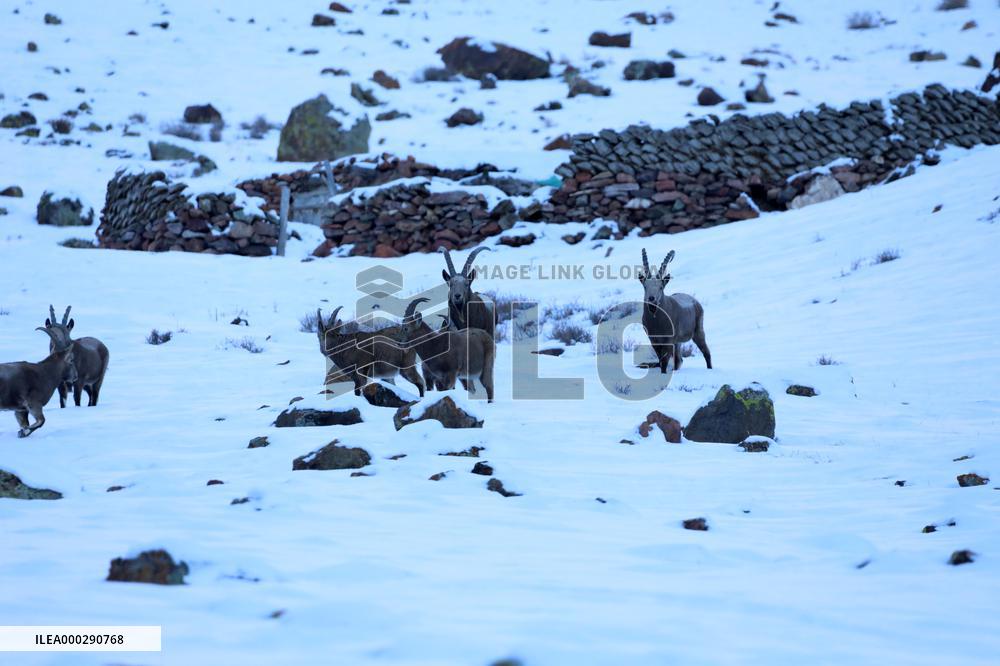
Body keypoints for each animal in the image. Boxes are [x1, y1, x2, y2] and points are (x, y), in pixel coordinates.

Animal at [0, 305, 79, 437]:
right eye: (71, 360)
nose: (75, 376)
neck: (46, 373)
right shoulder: (34, 403)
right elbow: (41, 421)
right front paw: (23, 432)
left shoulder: (20, 410)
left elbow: (24, 423)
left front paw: (22, 432)